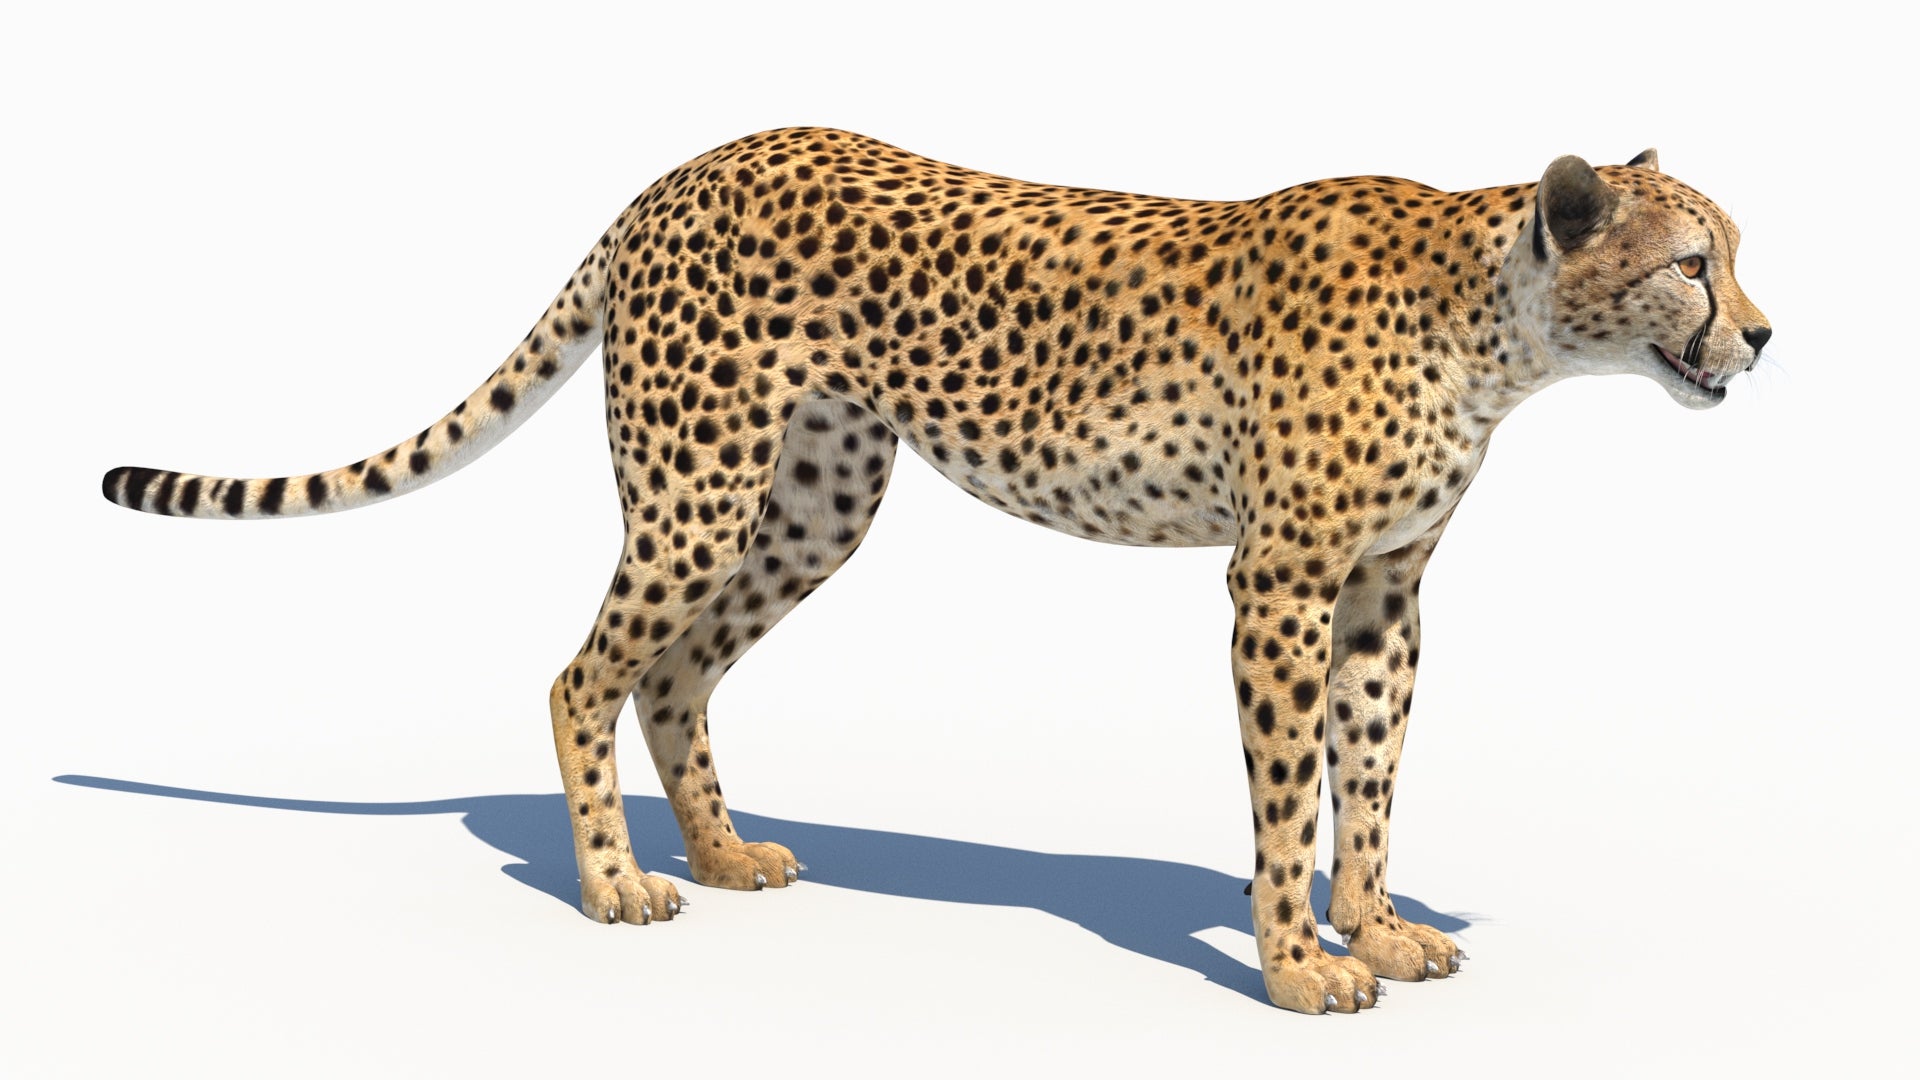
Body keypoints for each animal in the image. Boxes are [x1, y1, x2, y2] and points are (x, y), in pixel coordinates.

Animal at [101, 128, 1769, 1014]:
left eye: (1734, 256)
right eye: (1693, 263)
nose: (1762, 333)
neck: (1506, 333)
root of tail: (680, 170)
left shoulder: (1382, 594)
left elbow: (1371, 777)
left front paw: (1380, 927)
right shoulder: (1280, 583)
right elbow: (1291, 791)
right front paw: (1298, 963)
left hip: (813, 501)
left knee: (673, 673)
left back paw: (725, 854)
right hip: (700, 488)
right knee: (583, 672)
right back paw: (619, 885)